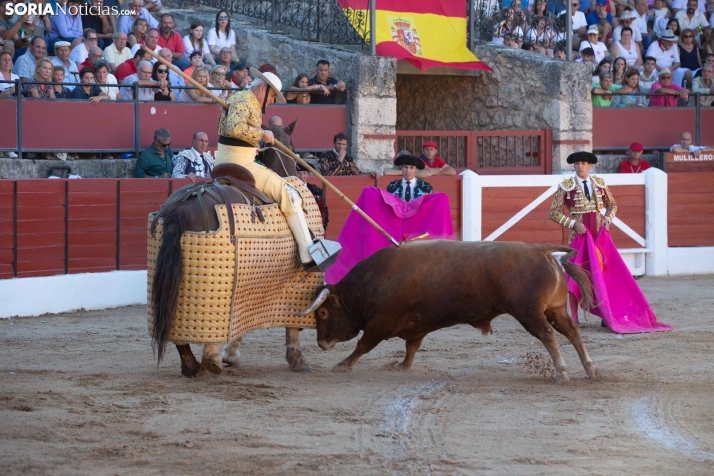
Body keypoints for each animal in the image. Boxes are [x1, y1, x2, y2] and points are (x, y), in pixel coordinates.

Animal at [151, 119, 314, 376]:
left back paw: (193, 365)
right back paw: (210, 359)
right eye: (292, 142)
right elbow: (289, 321)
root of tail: (181, 208)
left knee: (172, 317)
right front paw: (297, 358)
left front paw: (231, 354)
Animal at [300, 242, 600, 384]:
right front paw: (403, 367)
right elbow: (411, 347)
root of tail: (542, 250)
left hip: (529, 313)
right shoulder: (416, 327)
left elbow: (363, 345)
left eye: (323, 313)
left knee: (548, 335)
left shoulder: (380, 324)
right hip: (555, 309)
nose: (321, 343)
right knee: (572, 331)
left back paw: (562, 373)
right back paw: (590, 369)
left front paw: (342, 365)